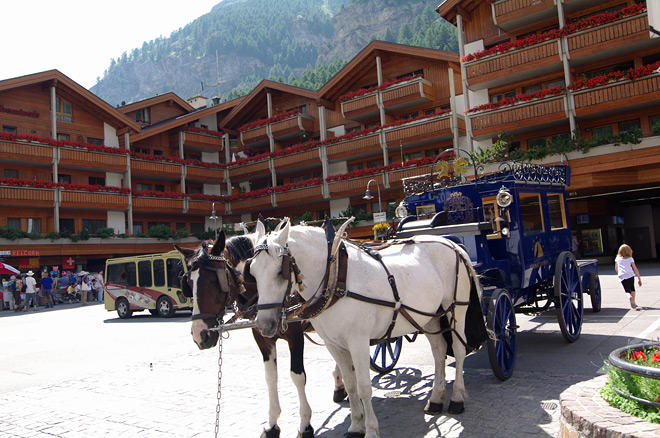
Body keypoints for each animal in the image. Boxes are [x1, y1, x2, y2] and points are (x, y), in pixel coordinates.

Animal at [175, 229, 345, 438]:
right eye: (188, 283)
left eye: (215, 280)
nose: (201, 335)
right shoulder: (262, 337)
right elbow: (270, 377)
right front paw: (272, 424)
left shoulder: (295, 335)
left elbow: (297, 376)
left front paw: (305, 425)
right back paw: (340, 386)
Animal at [247, 218, 485, 438]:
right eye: (252, 271)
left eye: (281, 272)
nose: (265, 325)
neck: (336, 277)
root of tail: (451, 244)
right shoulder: (334, 345)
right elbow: (351, 386)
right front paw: (355, 426)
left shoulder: (358, 342)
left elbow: (364, 387)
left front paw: (370, 429)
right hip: (430, 316)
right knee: (438, 350)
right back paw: (436, 398)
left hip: (456, 308)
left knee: (458, 349)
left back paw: (456, 398)